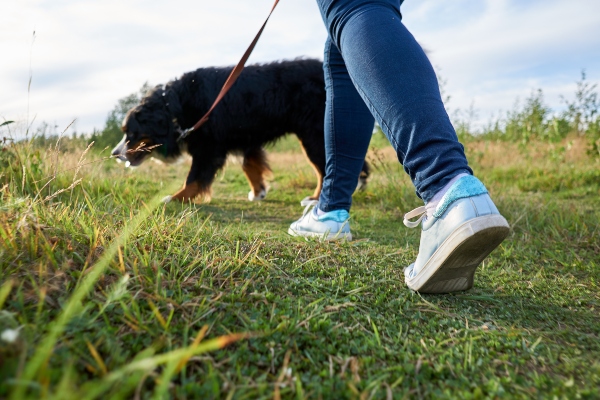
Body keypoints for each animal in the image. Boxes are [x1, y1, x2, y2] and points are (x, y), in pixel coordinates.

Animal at [110, 58, 368, 203]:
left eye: (130, 133)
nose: (114, 154)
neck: (175, 106)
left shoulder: (208, 148)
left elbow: (193, 178)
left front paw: (174, 198)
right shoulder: (244, 137)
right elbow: (249, 164)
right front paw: (258, 192)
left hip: (314, 134)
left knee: (323, 168)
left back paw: (315, 198)